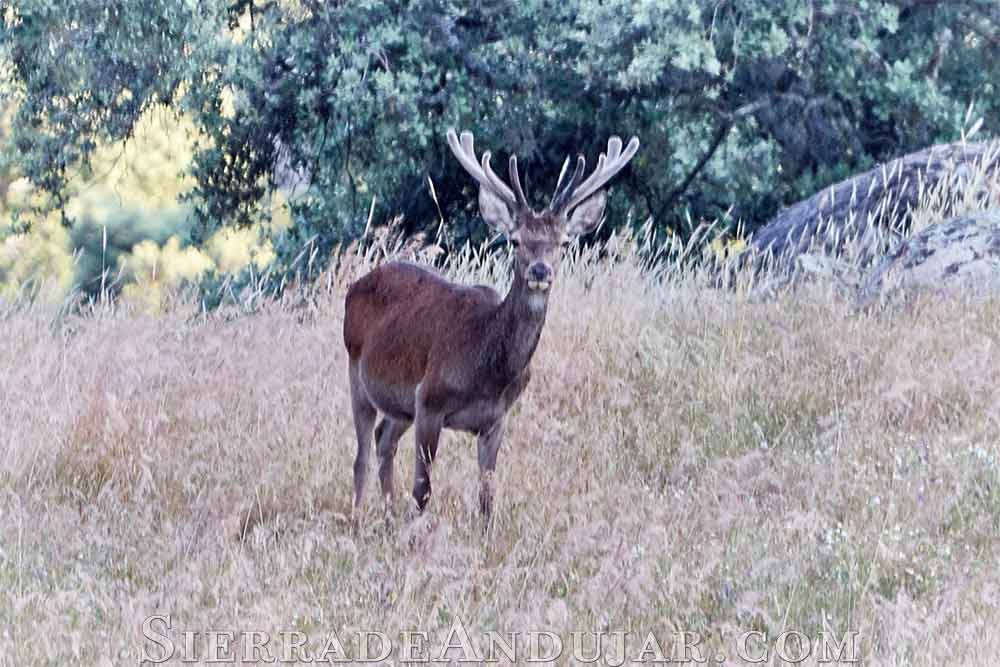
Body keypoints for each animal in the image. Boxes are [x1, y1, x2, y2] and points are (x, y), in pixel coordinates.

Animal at [343, 128, 639, 524]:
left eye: (563, 242)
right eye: (515, 240)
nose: (540, 270)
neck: (487, 369)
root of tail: (355, 286)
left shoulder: (496, 419)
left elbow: (487, 496)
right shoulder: (429, 399)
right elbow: (422, 490)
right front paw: (414, 533)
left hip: (400, 404)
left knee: (383, 439)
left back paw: (388, 516)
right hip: (357, 371)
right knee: (361, 452)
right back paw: (360, 518)